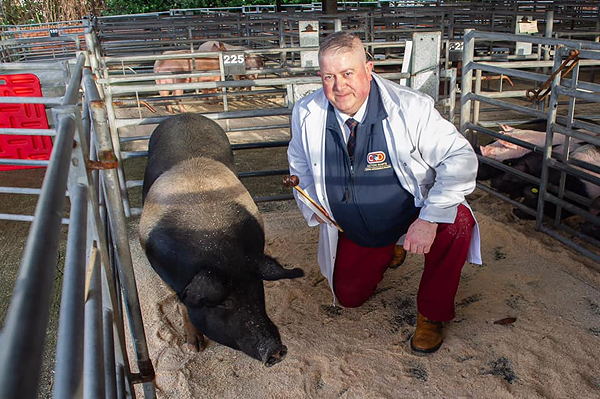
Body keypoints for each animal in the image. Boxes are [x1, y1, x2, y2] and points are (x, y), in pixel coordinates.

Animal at [140, 114, 304, 368]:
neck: (218, 249)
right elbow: (182, 305)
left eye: (257, 289)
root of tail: (185, 115)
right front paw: (195, 347)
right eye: (222, 303)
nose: (276, 350)